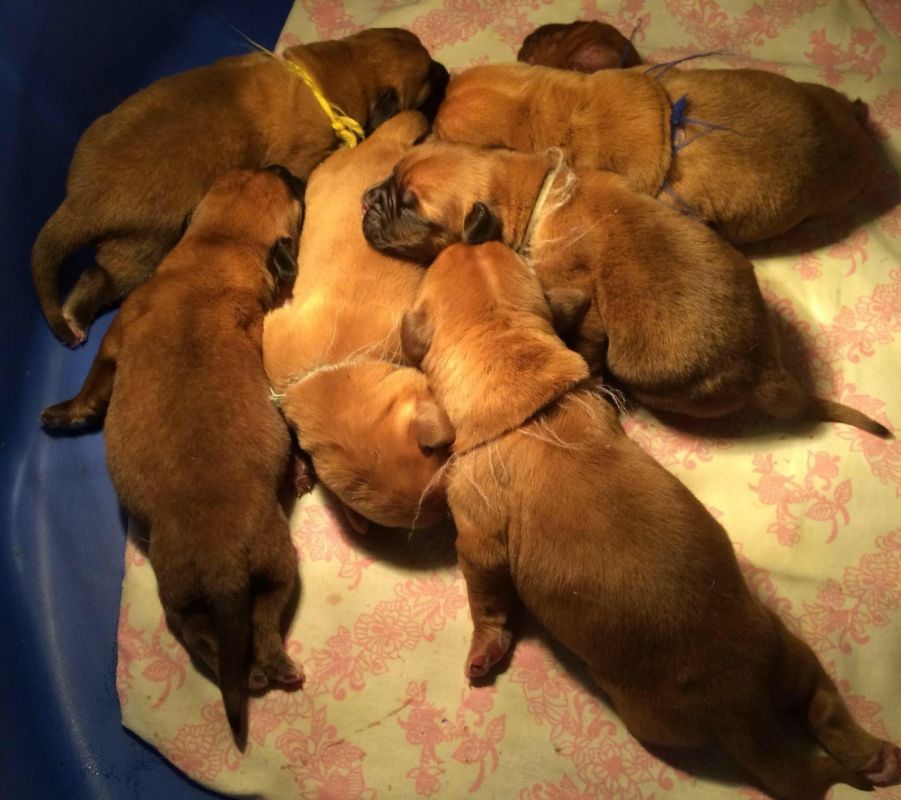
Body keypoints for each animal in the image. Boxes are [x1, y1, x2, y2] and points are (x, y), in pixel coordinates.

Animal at [33, 28, 449, 346]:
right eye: (429, 79)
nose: (446, 69)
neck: (335, 76)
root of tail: (82, 200)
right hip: (141, 252)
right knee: (100, 279)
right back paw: (75, 320)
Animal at [40, 167, 306, 748]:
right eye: (277, 184)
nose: (283, 170)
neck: (215, 253)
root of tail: (221, 558)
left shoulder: (113, 340)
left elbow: (94, 383)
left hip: (221, 582)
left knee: (218, 636)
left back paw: (260, 670)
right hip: (254, 572)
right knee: (244, 625)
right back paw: (266, 668)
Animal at [363, 140, 891, 438]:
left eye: (409, 207)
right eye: (389, 179)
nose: (367, 198)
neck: (534, 195)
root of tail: (766, 369)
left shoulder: (583, 310)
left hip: (650, 375)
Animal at [401, 241, 901, 800]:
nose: (468, 237)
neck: (514, 370)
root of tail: (742, 707)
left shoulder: (478, 540)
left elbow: (487, 599)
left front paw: (484, 650)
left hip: (652, 719)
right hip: (788, 653)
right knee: (824, 706)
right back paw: (877, 758)